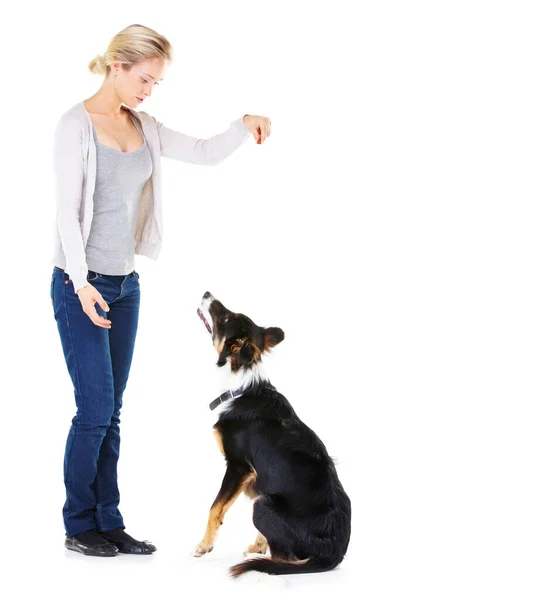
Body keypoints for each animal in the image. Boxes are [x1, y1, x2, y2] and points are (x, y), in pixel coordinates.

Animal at [193, 292, 350, 576]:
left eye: (225, 318)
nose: (207, 293)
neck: (240, 385)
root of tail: (333, 555)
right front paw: (257, 544)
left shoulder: (239, 467)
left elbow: (215, 507)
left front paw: (204, 545)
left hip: (261, 505)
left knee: (283, 558)